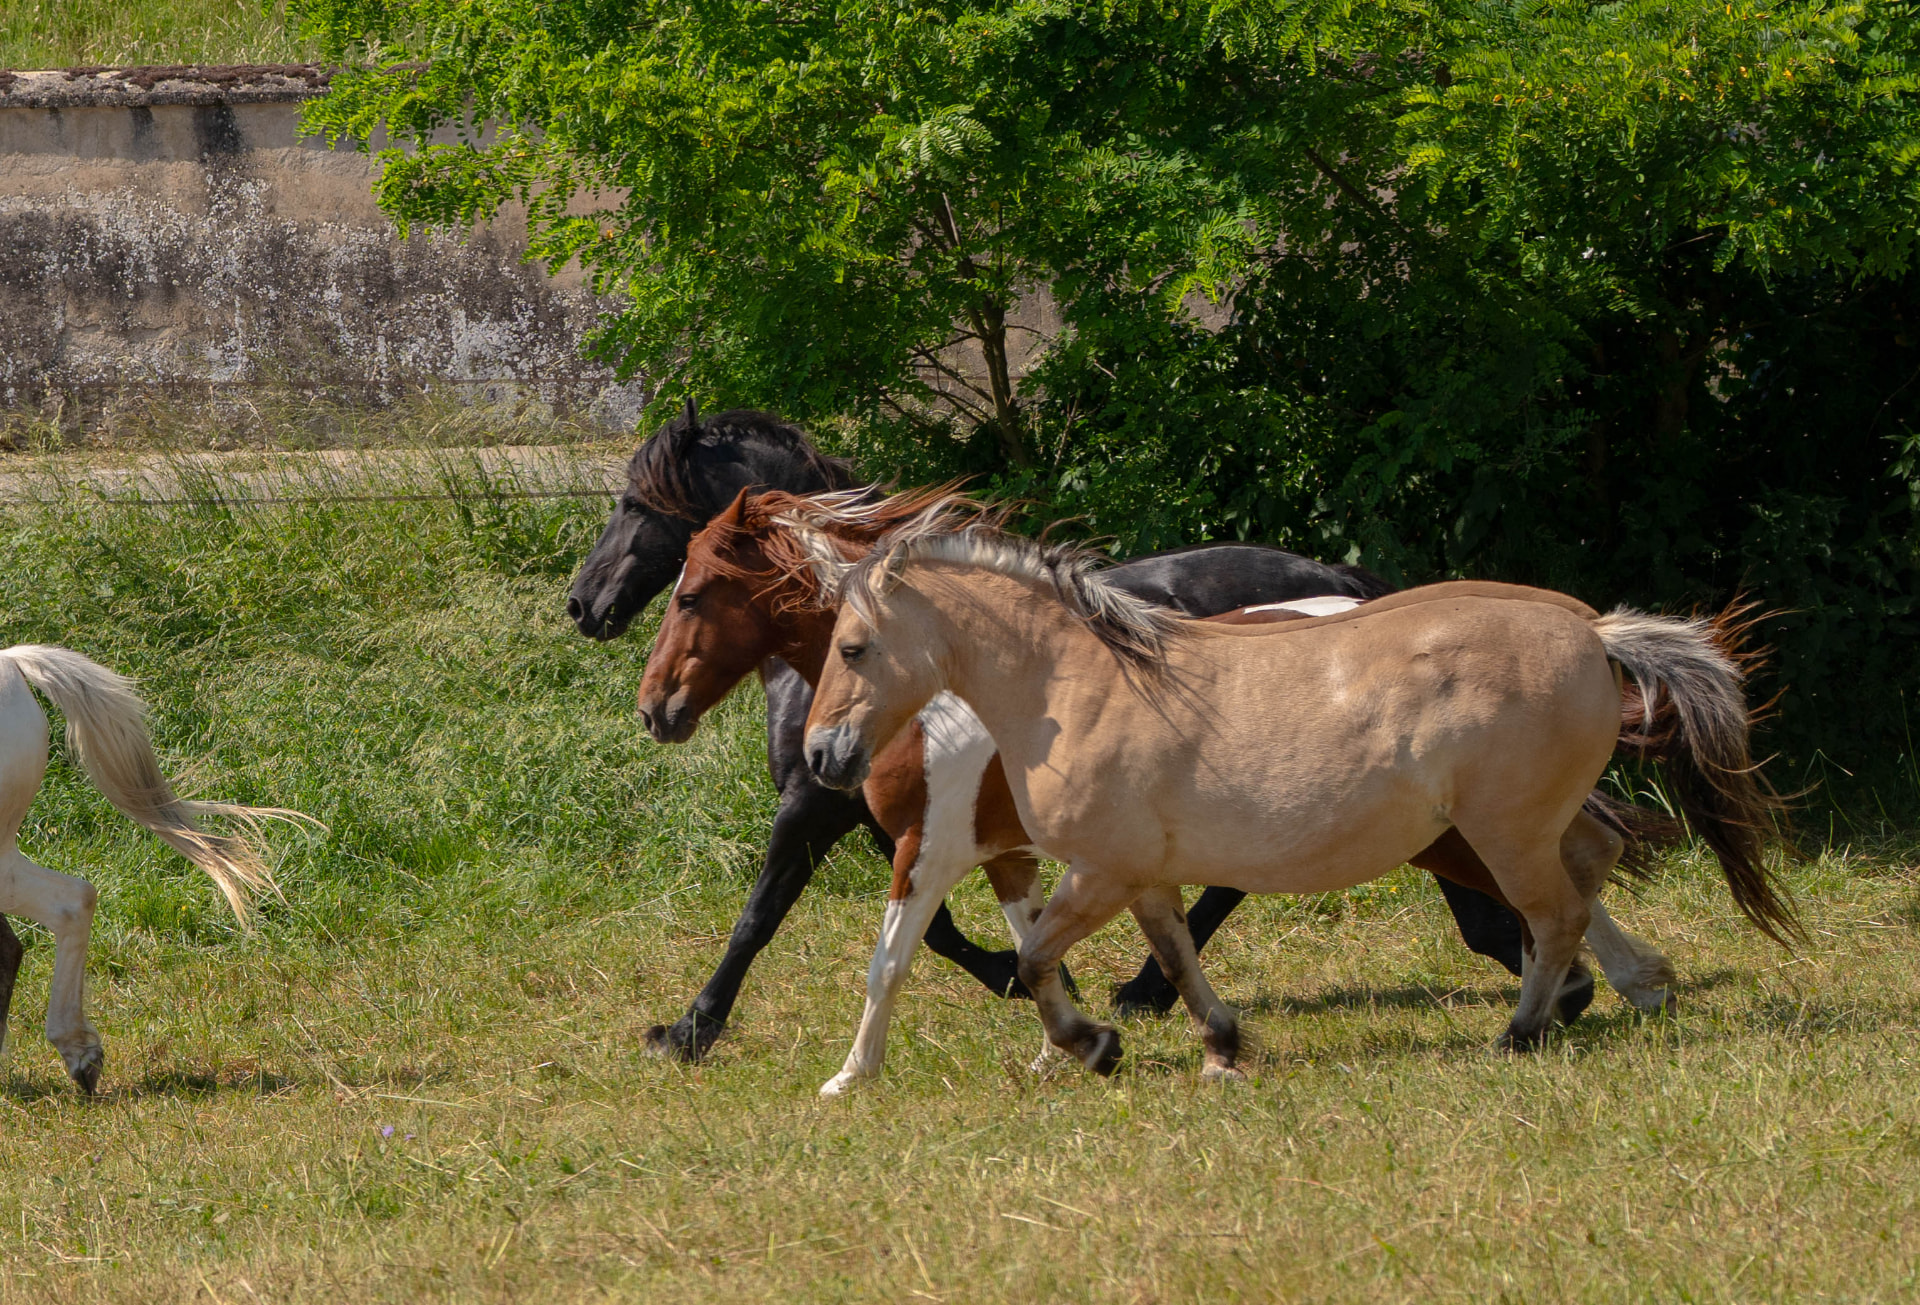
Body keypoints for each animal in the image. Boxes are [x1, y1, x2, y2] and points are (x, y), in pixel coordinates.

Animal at [566, 404, 1555, 1059]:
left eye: (635, 503)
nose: (584, 607)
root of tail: (1340, 580)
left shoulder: (819, 809)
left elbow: (760, 918)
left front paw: (687, 1030)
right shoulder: (887, 812)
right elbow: (944, 926)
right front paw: (1034, 985)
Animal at [639, 488, 1677, 1093]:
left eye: (690, 591)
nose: (825, 753)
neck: (1050, 687)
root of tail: (1592, 632)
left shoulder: (946, 847)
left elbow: (912, 953)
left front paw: (833, 1070)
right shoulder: (1068, 860)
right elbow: (1097, 951)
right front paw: (1171, 1042)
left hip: (1480, 826)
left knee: (1545, 904)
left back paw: (1540, 1019)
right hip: (1479, 825)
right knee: (1576, 873)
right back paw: (1626, 988)